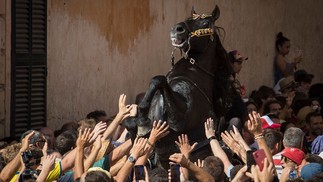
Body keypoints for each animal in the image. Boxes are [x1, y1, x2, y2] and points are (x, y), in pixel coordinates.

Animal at [125, 4, 239, 168]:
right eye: (188, 19)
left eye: (205, 23)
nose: (177, 29)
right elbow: (129, 121)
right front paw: (141, 119)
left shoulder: (180, 119)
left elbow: (158, 80)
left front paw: (143, 120)